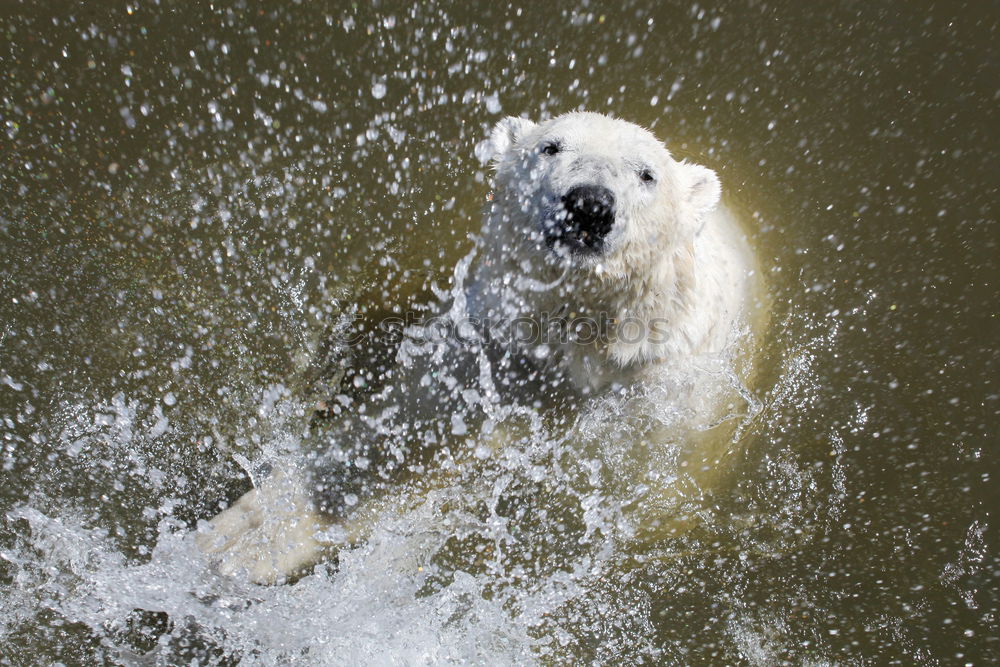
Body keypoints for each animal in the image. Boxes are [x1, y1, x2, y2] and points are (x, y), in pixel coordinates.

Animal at [193, 113, 756, 584]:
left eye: (646, 174)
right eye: (551, 146)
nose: (590, 206)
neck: (583, 336)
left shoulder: (658, 397)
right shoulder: (495, 351)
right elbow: (402, 428)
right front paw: (240, 534)